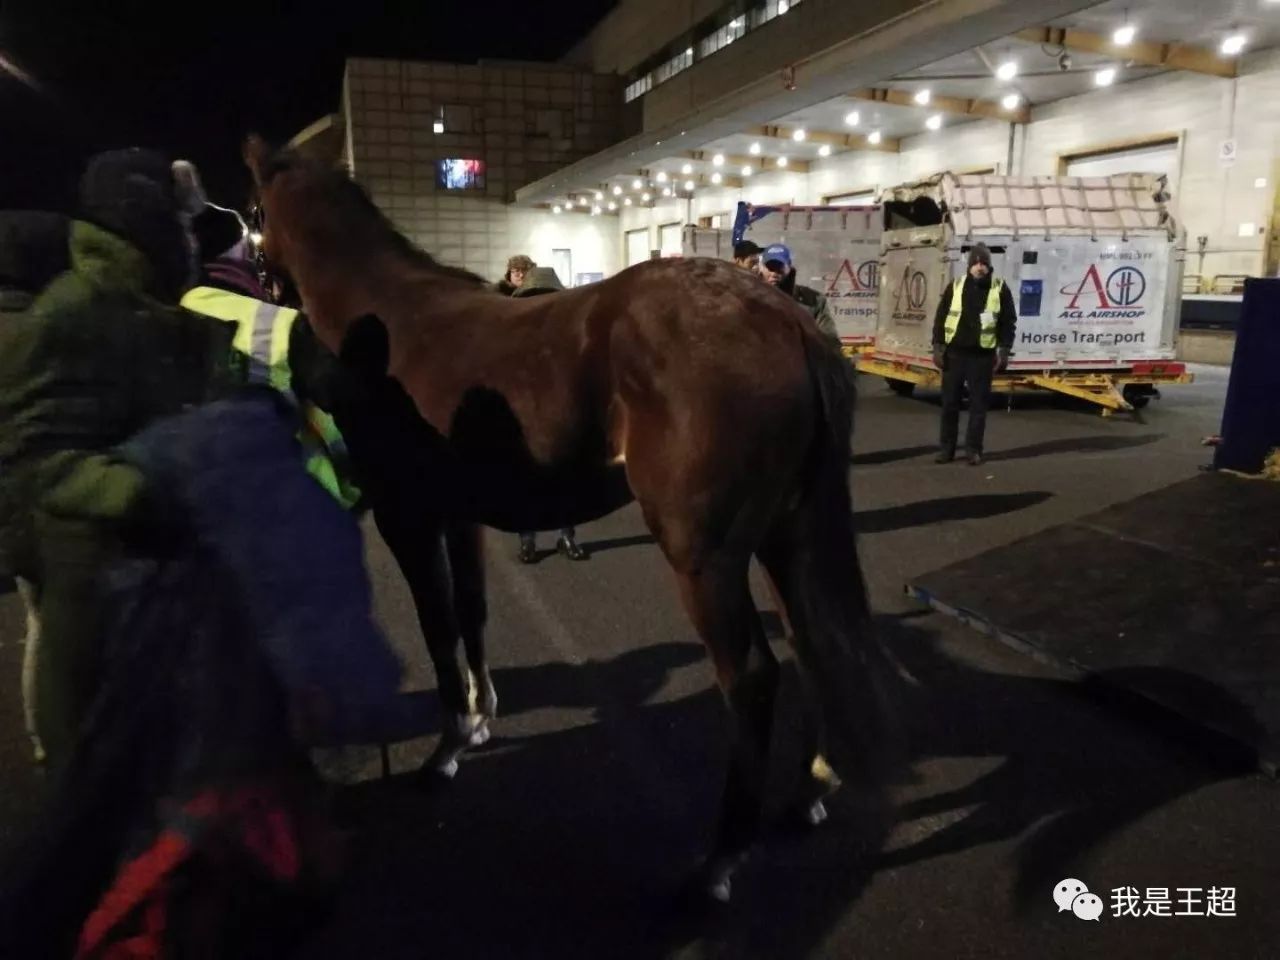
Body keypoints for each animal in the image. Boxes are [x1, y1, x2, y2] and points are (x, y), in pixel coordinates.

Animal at [245, 136, 900, 899]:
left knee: (751, 679)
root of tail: (783, 317)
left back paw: (719, 860)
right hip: (782, 535)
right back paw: (808, 791)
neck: (386, 322)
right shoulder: (460, 517)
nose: (258, 278)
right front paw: (482, 719)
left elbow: (437, 630)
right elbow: (471, 613)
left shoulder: (407, 518)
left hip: (704, 557)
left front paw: (447, 747)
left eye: (254, 213)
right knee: (808, 640)